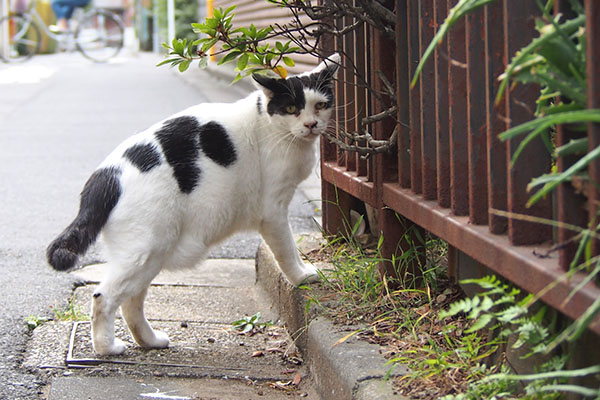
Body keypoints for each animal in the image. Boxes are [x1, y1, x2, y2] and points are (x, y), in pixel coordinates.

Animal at [45, 54, 340, 356]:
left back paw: (150, 341)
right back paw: (107, 348)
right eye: (292, 108)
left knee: (131, 302)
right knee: (103, 296)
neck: (270, 125)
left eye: (320, 105)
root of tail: (106, 174)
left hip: (151, 254)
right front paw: (302, 276)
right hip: (145, 250)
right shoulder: (273, 211)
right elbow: (287, 250)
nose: (311, 124)